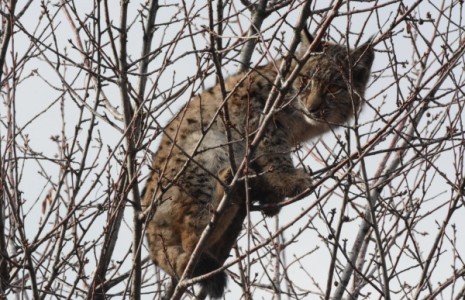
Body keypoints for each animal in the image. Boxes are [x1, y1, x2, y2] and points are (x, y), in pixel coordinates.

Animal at [141, 27, 374, 298]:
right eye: (305, 81)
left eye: (335, 88)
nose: (313, 108)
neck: (301, 120)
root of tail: (148, 229)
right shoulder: (261, 117)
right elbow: (275, 152)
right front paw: (289, 180)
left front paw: (273, 194)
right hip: (207, 147)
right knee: (191, 236)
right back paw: (226, 191)